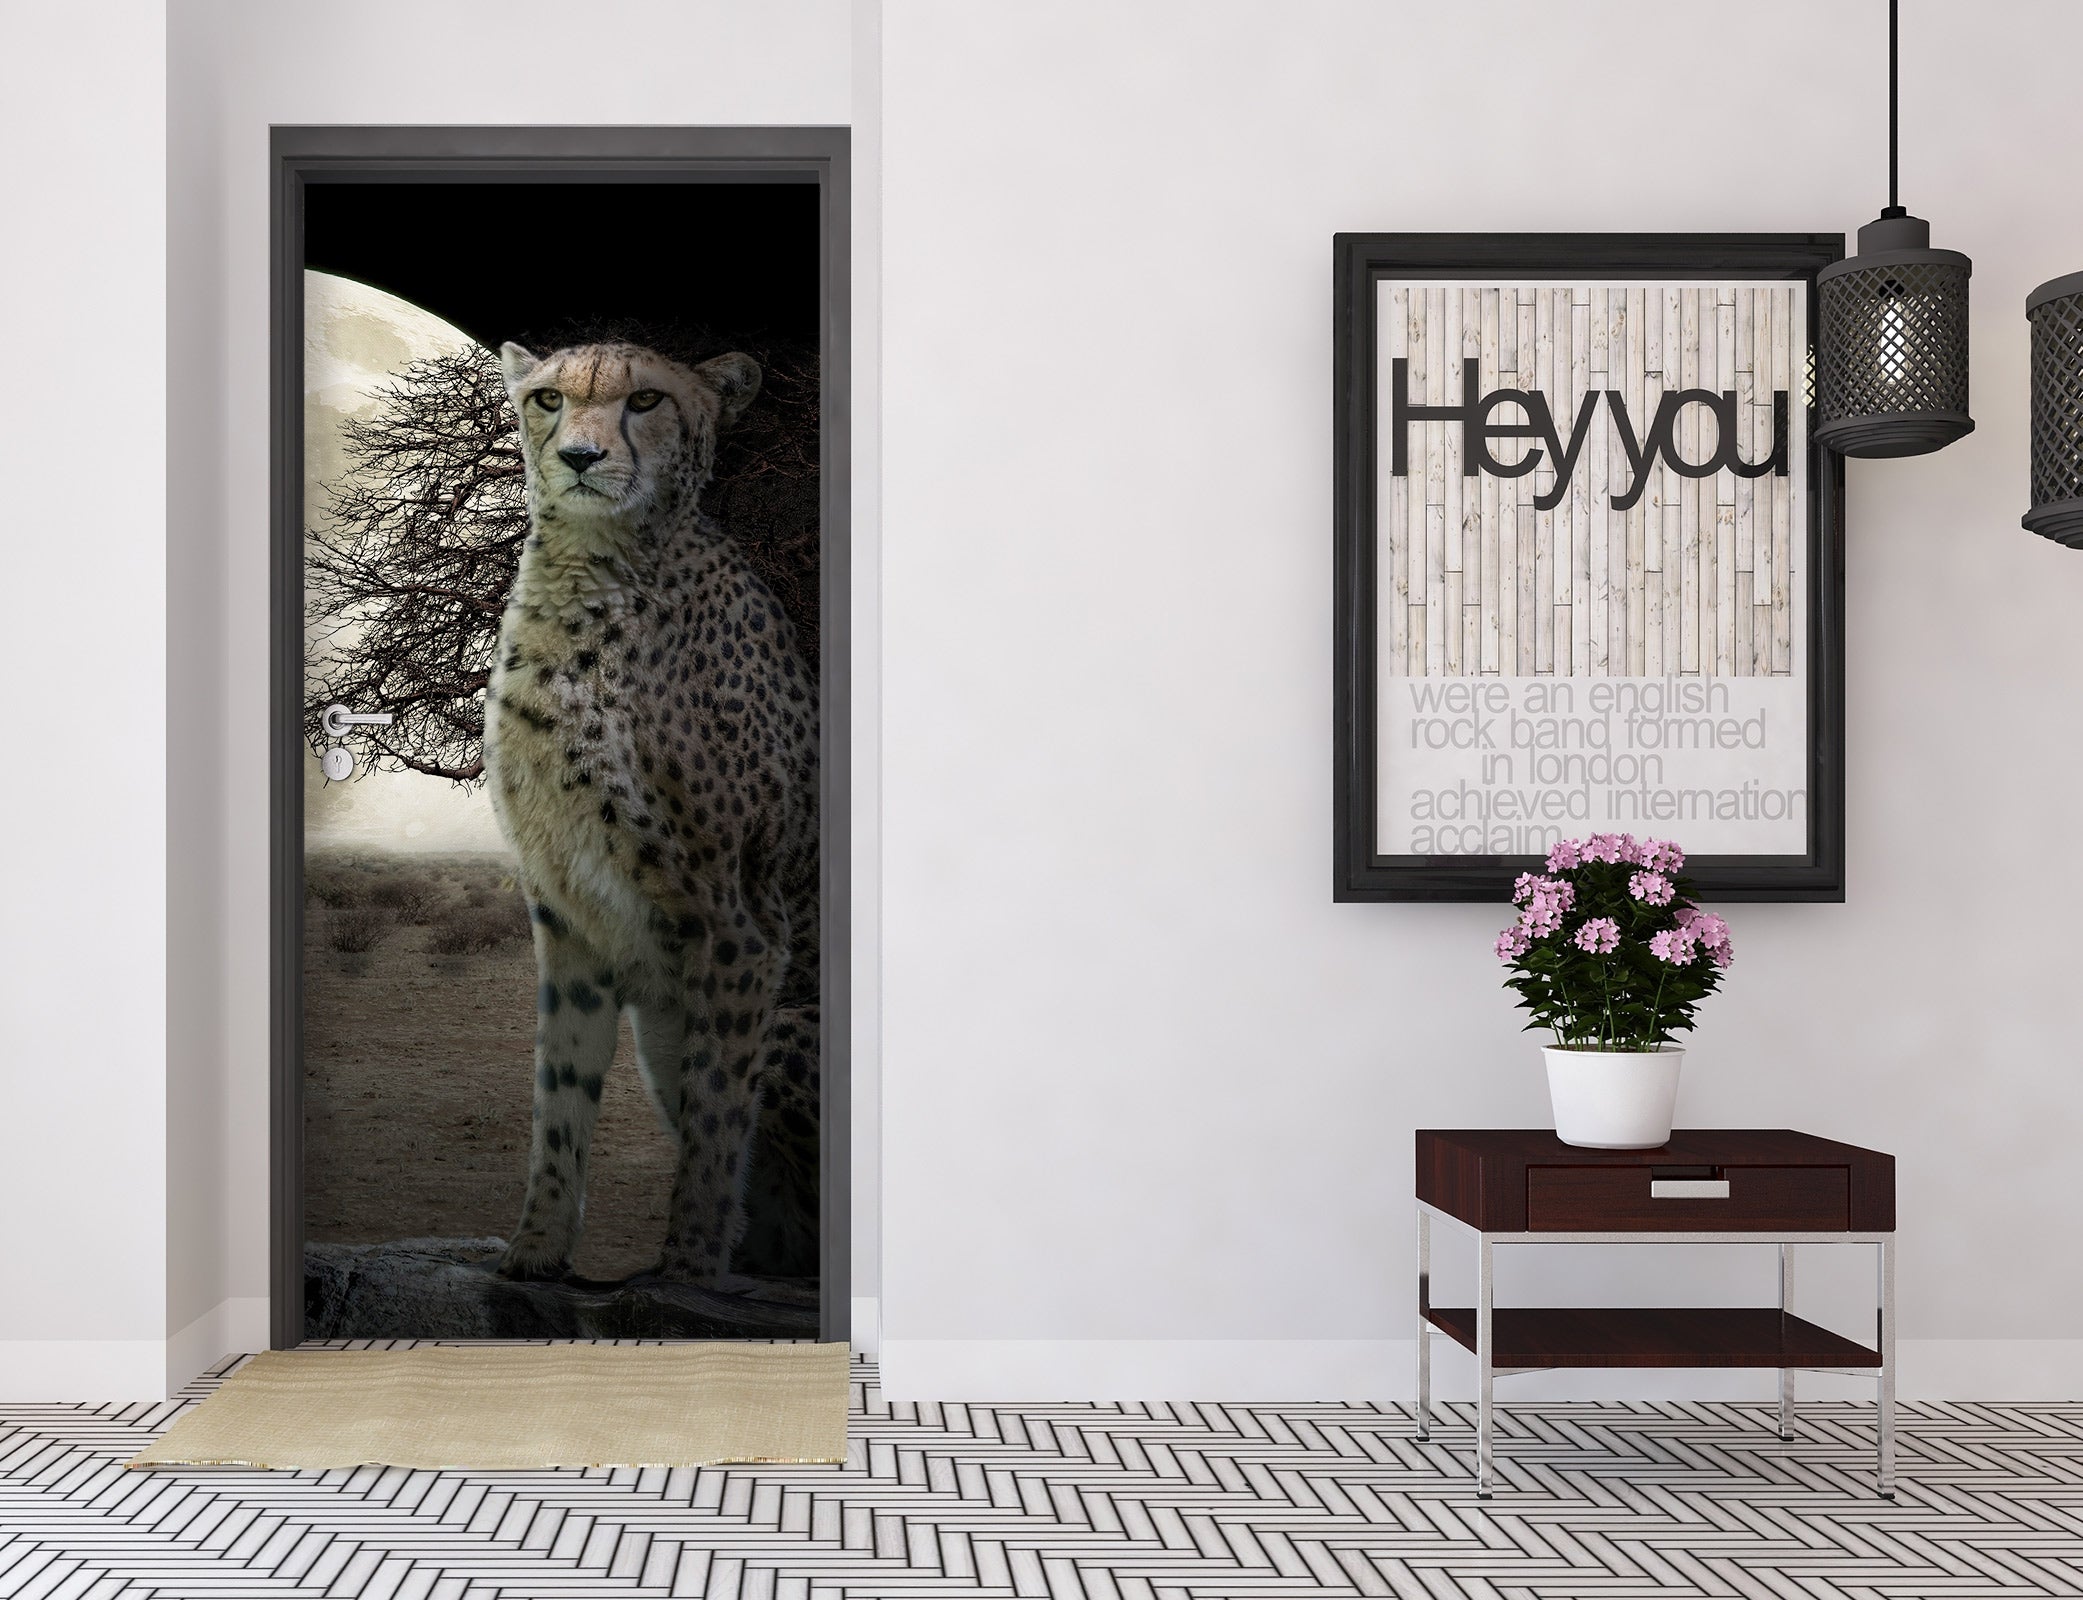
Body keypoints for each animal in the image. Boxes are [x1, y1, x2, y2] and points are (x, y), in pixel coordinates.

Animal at [482, 338, 819, 1285]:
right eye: (548, 398)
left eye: (645, 401)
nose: (578, 457)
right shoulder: (566, 913)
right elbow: (558, 1093)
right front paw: (536, 1250)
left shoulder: (744, 921)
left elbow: (717, 1114)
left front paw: (689, 1268)